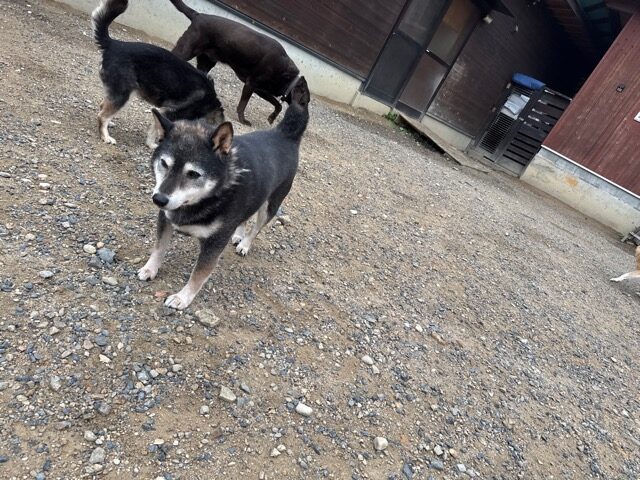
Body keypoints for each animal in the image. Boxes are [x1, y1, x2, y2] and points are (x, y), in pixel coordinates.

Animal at [92, 0, 224, 148]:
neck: (209, 105)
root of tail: (113, 44)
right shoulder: (168, 113)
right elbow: (156, 130)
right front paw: (151, 144)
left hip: (118, 92)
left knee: (103, 106)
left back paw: (110, 123)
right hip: (124, 94)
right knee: (102, 116)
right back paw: (105, 136)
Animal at [138, 77, 310, 310]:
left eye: (193, 174)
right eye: (164, 164)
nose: (159, 199)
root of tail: (284, 134)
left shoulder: (215, 242)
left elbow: (198, 274)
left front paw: (183, 297)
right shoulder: (165, 219)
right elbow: (158, 248)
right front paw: (150, 269)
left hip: (270, 205)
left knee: (257, 227)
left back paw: (245, 244)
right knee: (245, 217)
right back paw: (238, 234)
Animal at [168, 0, 300, 126]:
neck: (287, 75)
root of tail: (198, 15)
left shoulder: (260, 89)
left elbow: (278, 104)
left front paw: (271, 118)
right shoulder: (250, 84)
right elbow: (243, 105)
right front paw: (243, 120)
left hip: (206, 62)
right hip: (186, 51)